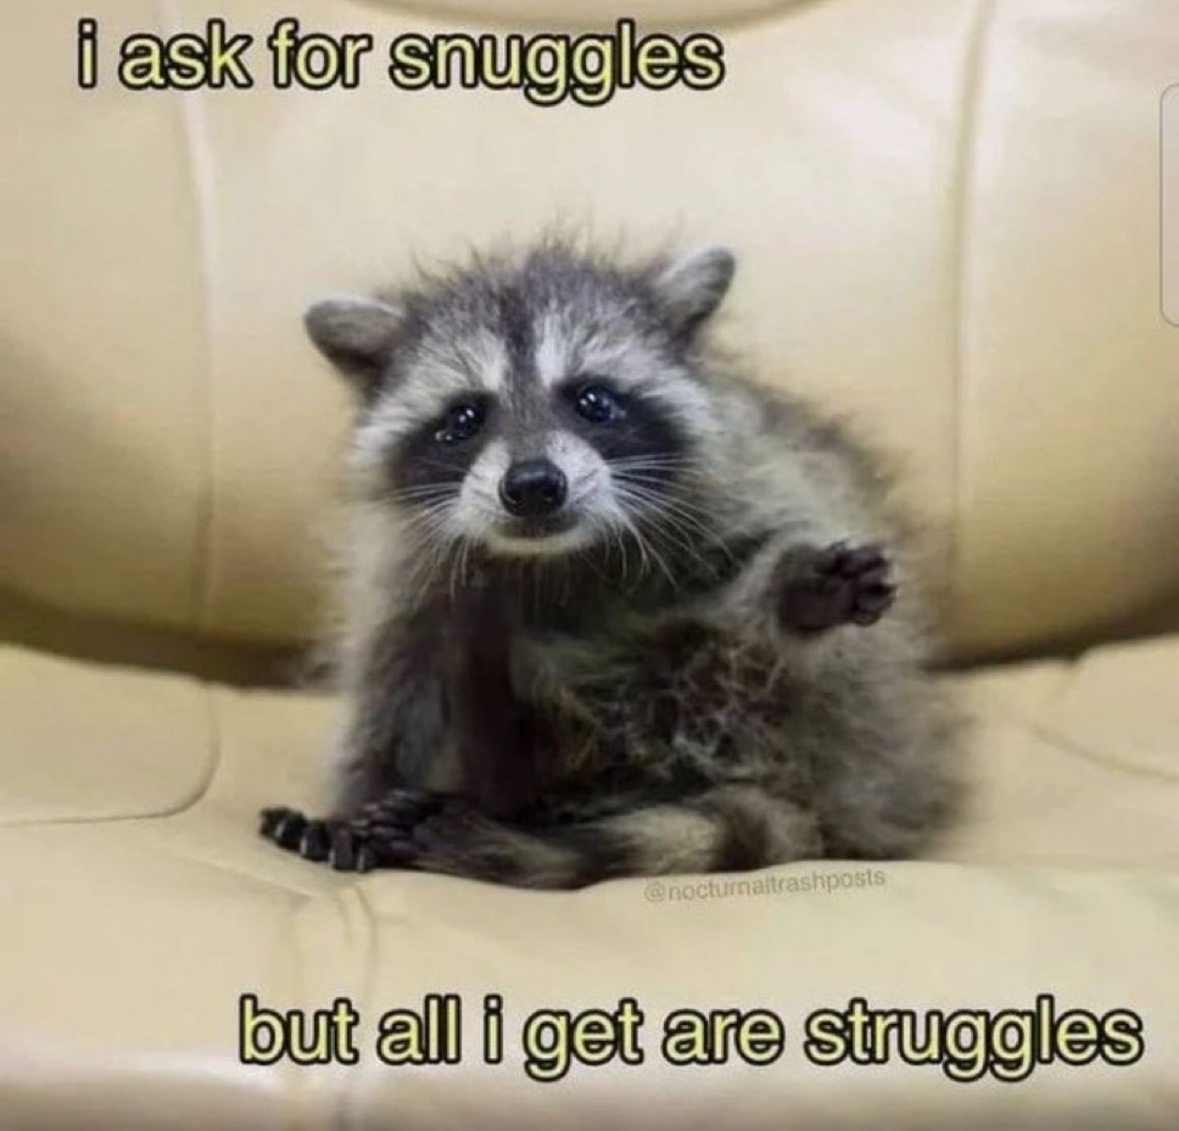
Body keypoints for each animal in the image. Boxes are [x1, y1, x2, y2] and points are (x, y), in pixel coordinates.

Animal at [260, 236, 963, 888]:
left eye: (592, 401)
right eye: (464, 416)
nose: (534, 485)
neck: (547, 555)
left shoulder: (745, 483)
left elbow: (754, 586)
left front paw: (796, 595)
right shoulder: (411, 573)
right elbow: (392, 687)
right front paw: (358, 797)